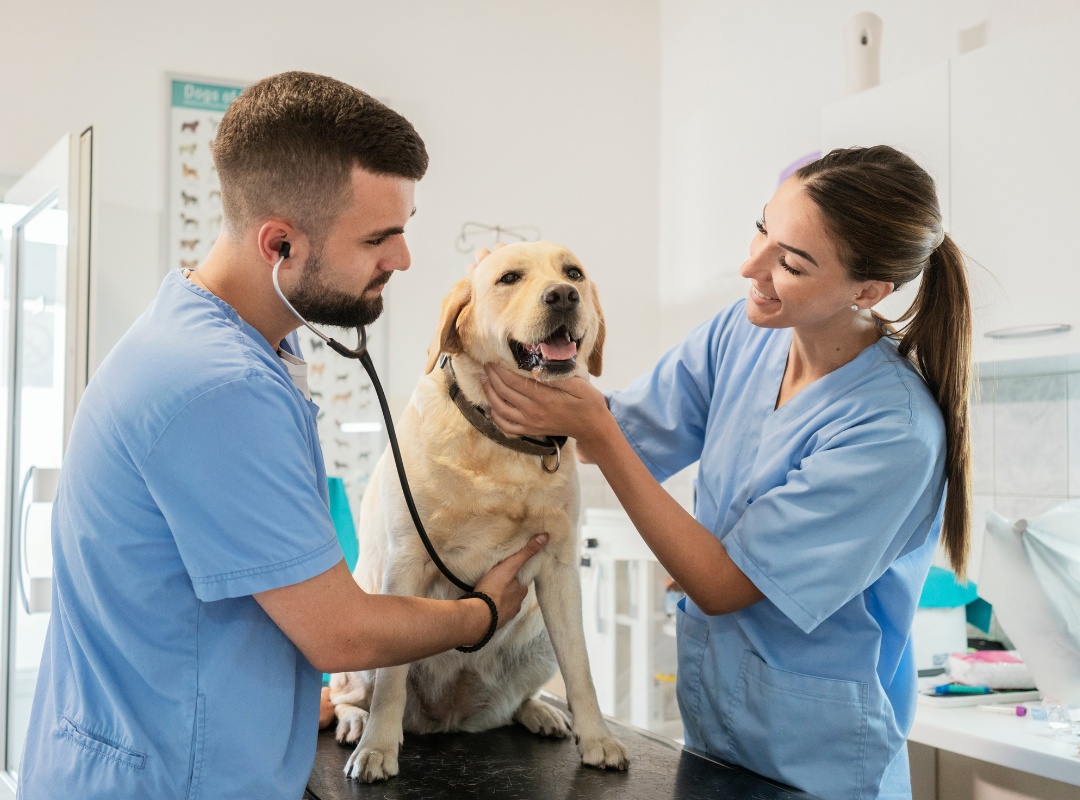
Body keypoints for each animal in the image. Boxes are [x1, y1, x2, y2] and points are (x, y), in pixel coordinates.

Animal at [332, 238, 630, 781]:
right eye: (509, 278)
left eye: (573, 272)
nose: (564, 296)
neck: (504, 445)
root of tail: (444, 718)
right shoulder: (406, 562)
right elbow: (390, 680)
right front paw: (377, 747)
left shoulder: (560, 569)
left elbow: (581, 667)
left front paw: (597, 738)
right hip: (358, 634)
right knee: (350, 691)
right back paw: (353, 723)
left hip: (537, 637)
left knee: (515, 700)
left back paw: (538, 712)